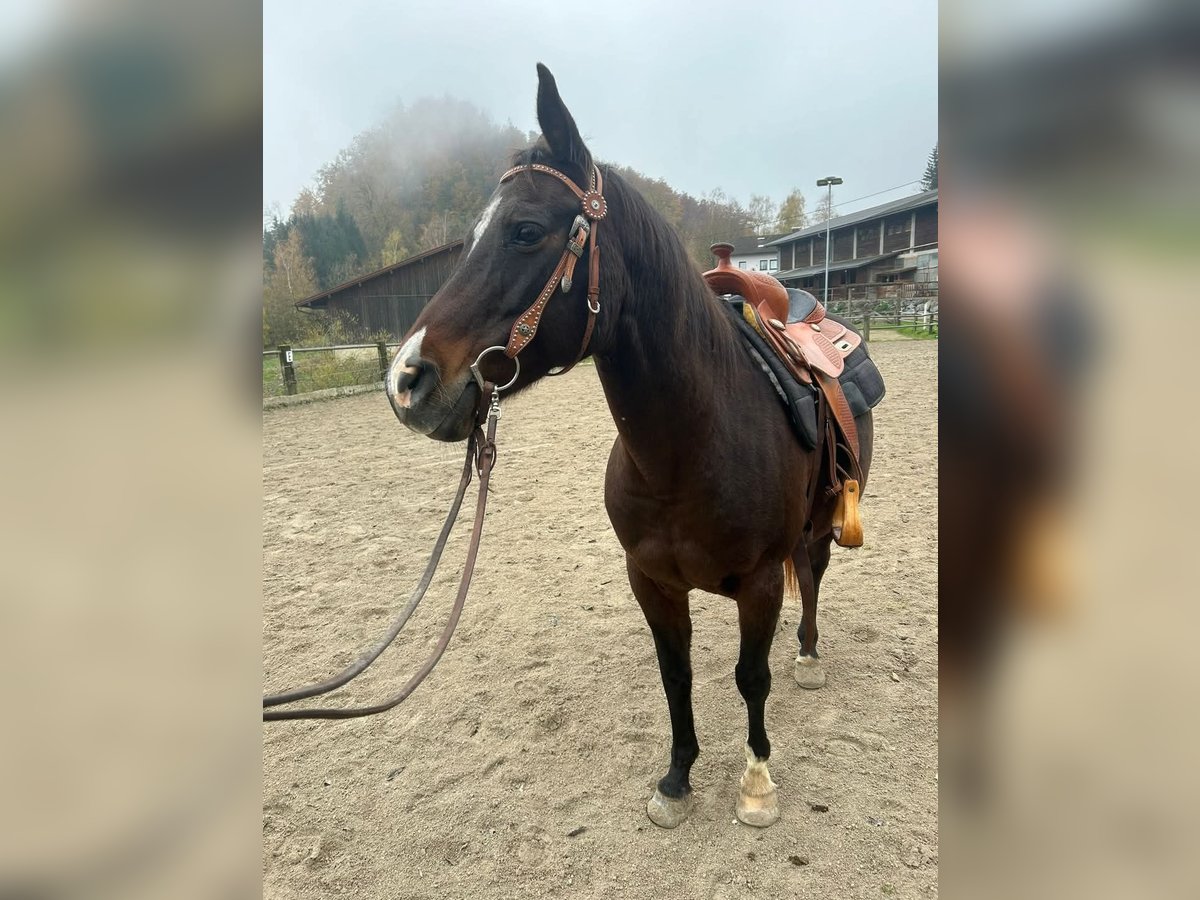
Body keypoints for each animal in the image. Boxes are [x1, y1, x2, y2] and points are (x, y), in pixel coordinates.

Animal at [384, 65, 873, 830]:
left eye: (526, 231)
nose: (406, 380)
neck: (690, 448)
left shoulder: (761, 581)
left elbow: (750, 676)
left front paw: (757, 782)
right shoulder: (650, 579)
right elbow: (677, 675)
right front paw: (676, 780)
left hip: (821, 523)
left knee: (814, 574)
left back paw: (810, 656)